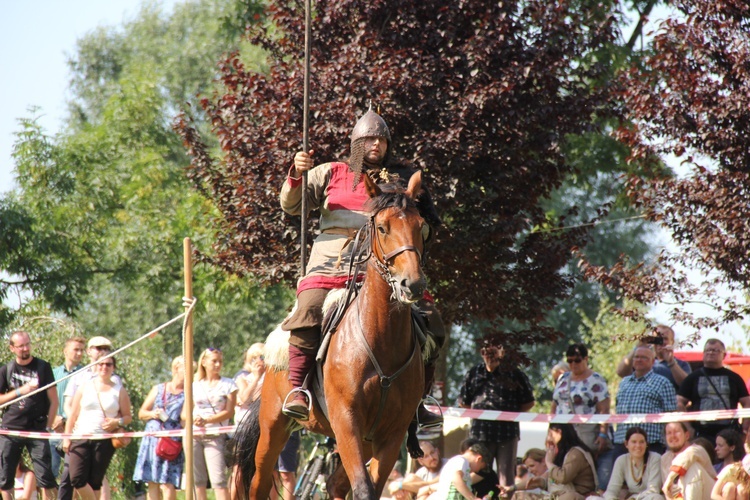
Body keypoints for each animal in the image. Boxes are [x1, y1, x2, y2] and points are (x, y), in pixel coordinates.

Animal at [238, 171, 432, 496]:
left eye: (421, 227)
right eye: (382, 227)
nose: (413, 284)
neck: (382, 341)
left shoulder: (389, 435)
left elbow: (371, 487)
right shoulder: (346, 422)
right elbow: (364, 488)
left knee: (335, 485)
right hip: (273, 427)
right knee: (259, 484)